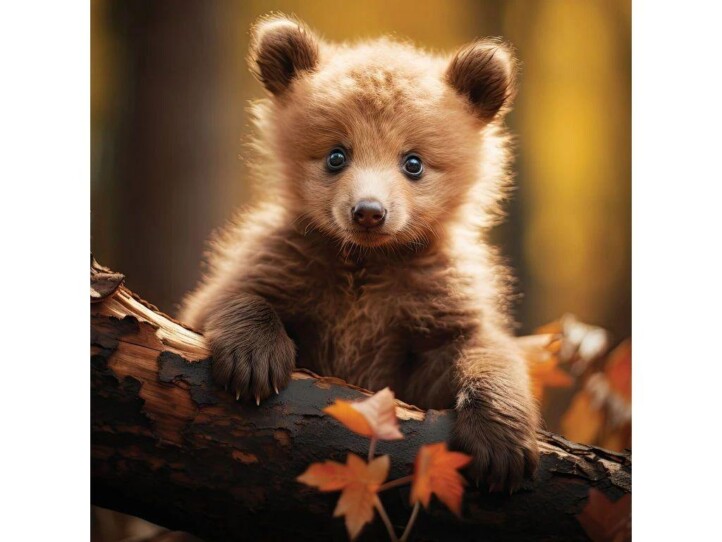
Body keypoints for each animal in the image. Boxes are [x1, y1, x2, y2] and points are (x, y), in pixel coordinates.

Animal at [180, 14, 540, 492]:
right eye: (336, 155)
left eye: (413, 162)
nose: (369, 211)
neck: (367, 262)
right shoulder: (290, 259)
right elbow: (225, 298)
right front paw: (253, 362)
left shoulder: (429, 301)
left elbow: (479, 348)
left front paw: (501, 447)